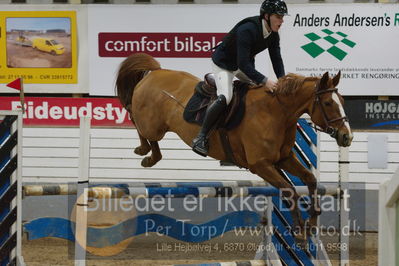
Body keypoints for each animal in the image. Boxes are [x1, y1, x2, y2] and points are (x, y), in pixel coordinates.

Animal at [115, 53, 354, 242]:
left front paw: (312, 224)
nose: (347, 136)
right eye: (328, 103)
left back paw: (148, 155)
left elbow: (310, 180)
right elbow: (290, 191)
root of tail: (156, 72)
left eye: (343, 101)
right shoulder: (261, 165)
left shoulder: (283, 158)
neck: (277, 112)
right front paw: (300, 234)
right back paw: (146, 153)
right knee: (134, 117)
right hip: (152, 124)